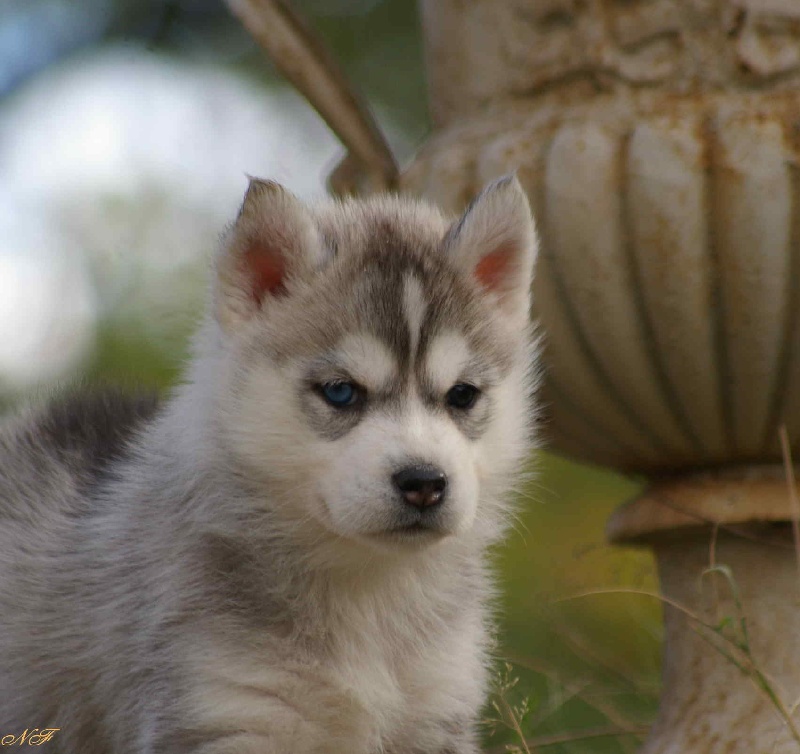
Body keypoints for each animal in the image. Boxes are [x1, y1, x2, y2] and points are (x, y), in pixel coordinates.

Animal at [0, 178, 540, 752]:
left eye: (462, 395)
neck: (365, 589)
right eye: (341, 391)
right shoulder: (225, 712)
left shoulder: (437, 713)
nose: (424, 483)